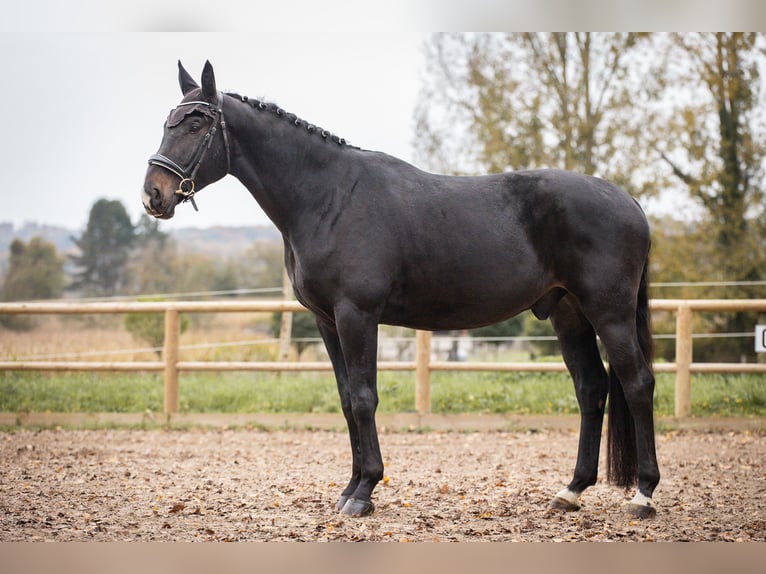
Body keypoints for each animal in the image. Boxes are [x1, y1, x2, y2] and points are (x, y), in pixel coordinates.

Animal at [142, 63, 660, 520]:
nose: (154, 194)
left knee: (637, 383)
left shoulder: (357, 314)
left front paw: (364, 493)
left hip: (609, 313)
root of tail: (629, 201)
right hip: (569, 314)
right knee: (591, 389)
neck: (328, 197)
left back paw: (642, 496)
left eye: (195, 122)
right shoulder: (327, 320)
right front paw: (350, 487)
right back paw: (570, 492)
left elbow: (364, 397)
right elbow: (346, 400)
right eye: (168, 120)